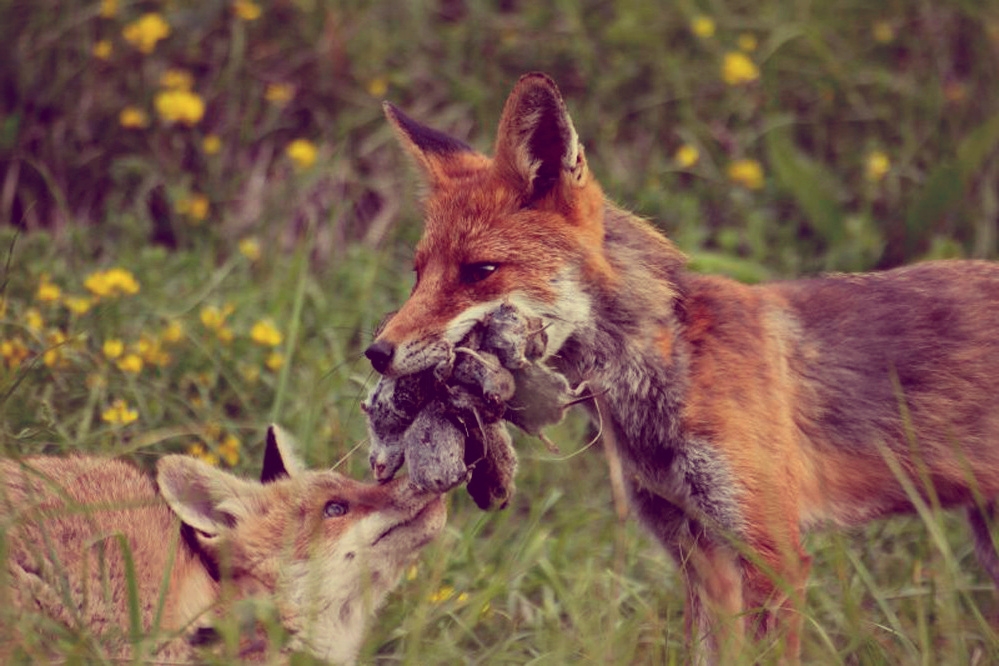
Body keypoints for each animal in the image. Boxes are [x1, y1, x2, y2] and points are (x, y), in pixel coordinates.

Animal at [366, 74, 999, 660]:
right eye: (419, 274)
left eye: (480, 271)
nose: (376, 352)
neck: (670, 370)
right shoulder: (699, 554)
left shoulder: (771, 552)